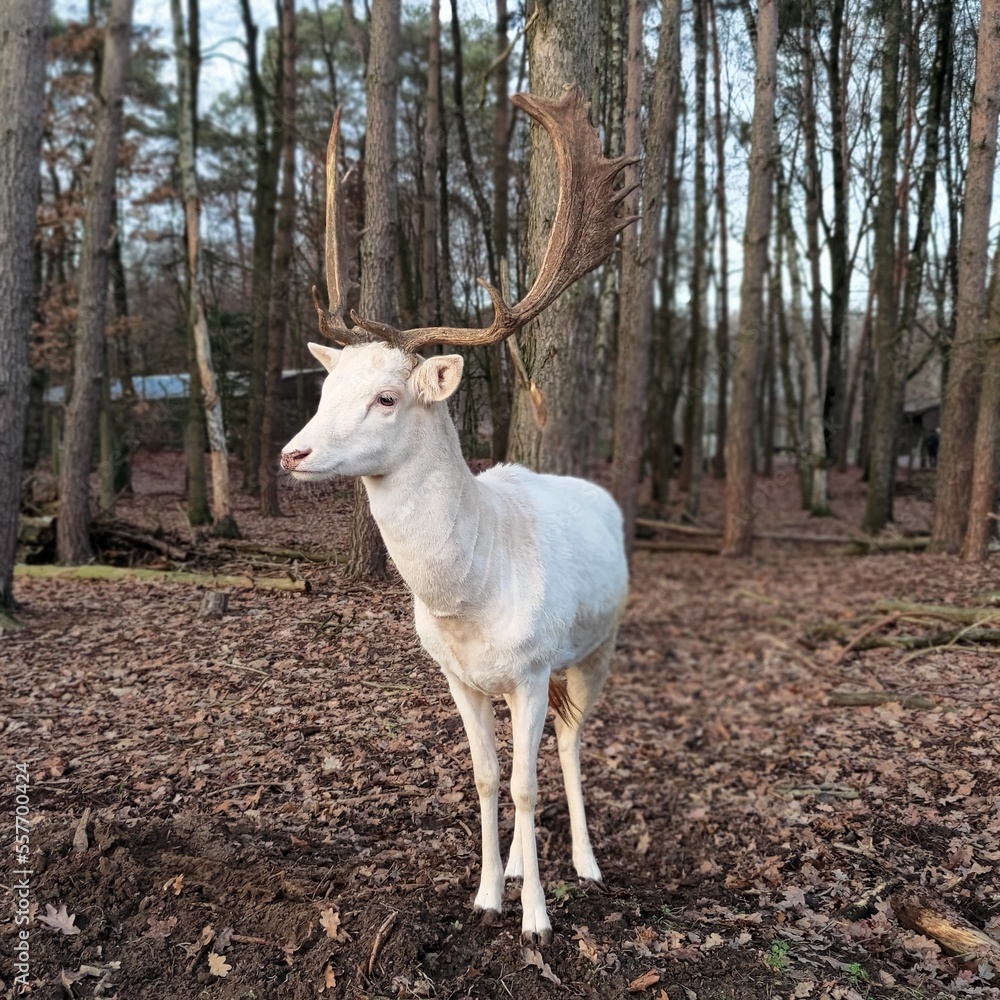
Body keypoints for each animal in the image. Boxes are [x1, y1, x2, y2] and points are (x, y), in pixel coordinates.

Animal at [281, 86, 637, 944]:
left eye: (387, 397)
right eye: (324, 389)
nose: (291, 455)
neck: (468, 596)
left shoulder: (535, 667)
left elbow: (530, 785)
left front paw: (537, 918)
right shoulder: (458, 677)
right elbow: (484, 778)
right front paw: (485, 894)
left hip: (598, 644)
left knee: (573, 743)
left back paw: (585, 863)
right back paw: (513, 867)